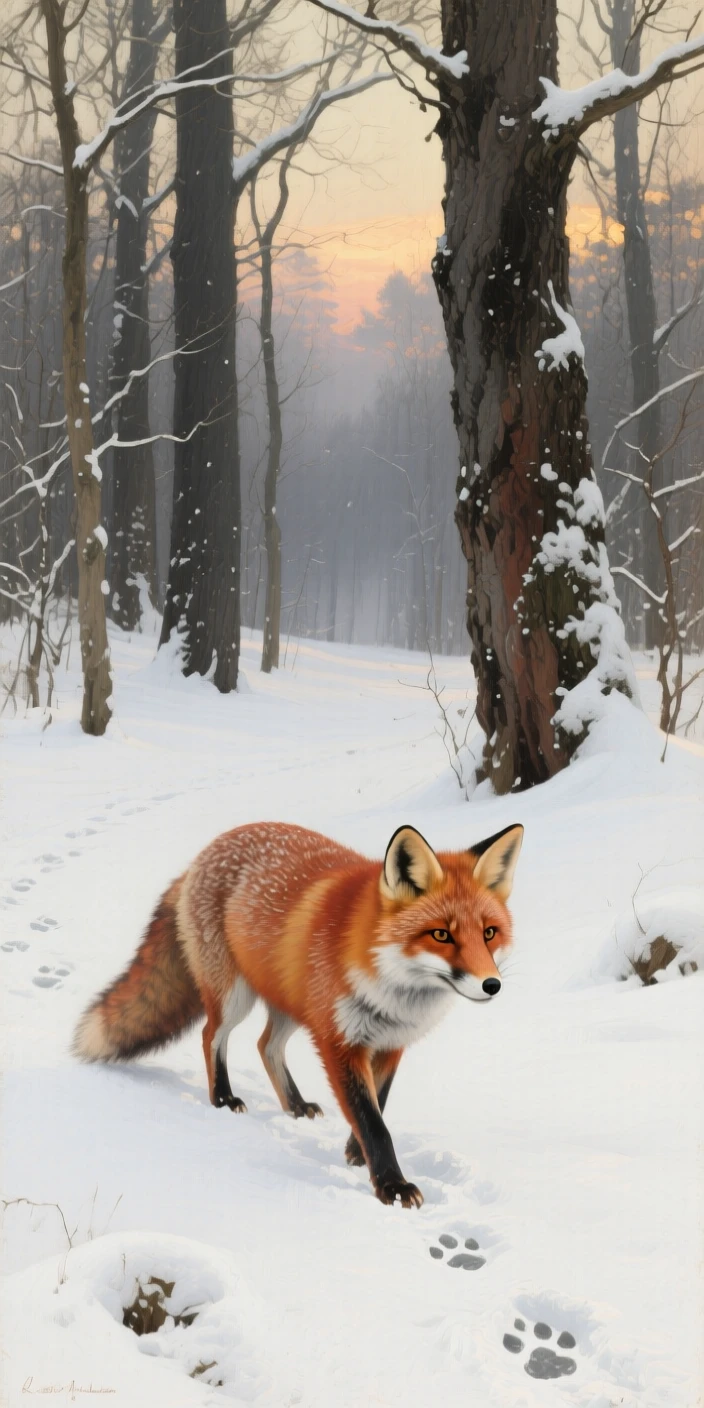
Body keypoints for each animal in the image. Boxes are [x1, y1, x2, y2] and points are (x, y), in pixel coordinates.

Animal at [74, 820, 523, 1208]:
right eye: (441, 935)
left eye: (489, 933)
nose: (492, 985)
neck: (392, 991)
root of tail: (204, 852)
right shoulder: (339, 1040)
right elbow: (373, 1122)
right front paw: (391, 1186)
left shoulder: (392, 1043)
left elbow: (377, 1105)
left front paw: (355, 1153)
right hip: (234, 998)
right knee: (211, 1036)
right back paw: (223, 1098)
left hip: (290, 1003)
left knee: (265, 1045)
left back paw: (295, 1105)